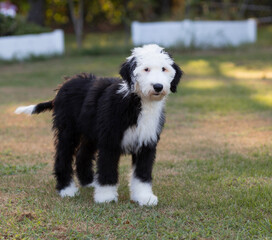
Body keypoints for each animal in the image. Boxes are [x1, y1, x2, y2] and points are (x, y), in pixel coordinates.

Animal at [14, 44, 181, 205]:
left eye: (164, 69)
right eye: (146, 69)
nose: (158, 86)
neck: (136, 102)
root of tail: (64, 84)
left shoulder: (146, 143)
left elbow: (142, 174)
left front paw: (144, 197)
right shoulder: (110, 142)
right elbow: (107, 169)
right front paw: (106, 197)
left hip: (90, 134)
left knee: (82, 155)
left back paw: (88, 182)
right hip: (68, 131)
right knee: (63, 157)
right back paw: (66, 189)